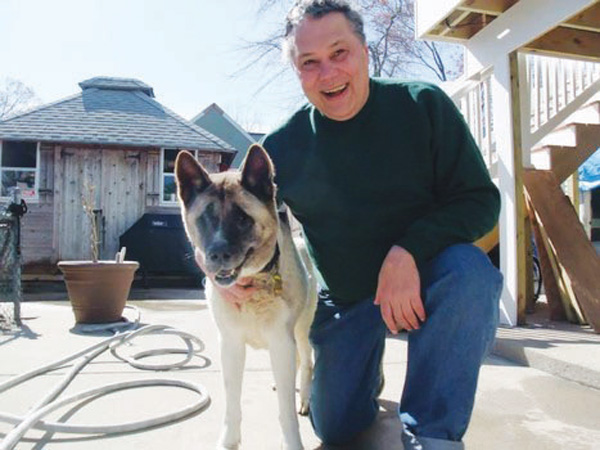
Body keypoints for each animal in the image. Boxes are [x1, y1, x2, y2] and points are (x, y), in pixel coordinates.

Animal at [175, 144, 318, 450]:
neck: (256, 282)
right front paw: (229, 441)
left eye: (242, 217)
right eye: (205, 217)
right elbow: (232, 402)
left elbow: (285, 410)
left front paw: (292, 441)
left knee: (307, 359)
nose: (217, 254)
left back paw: (305, 398)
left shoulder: (281, 342)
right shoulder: (230, 345)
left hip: (301, 330)